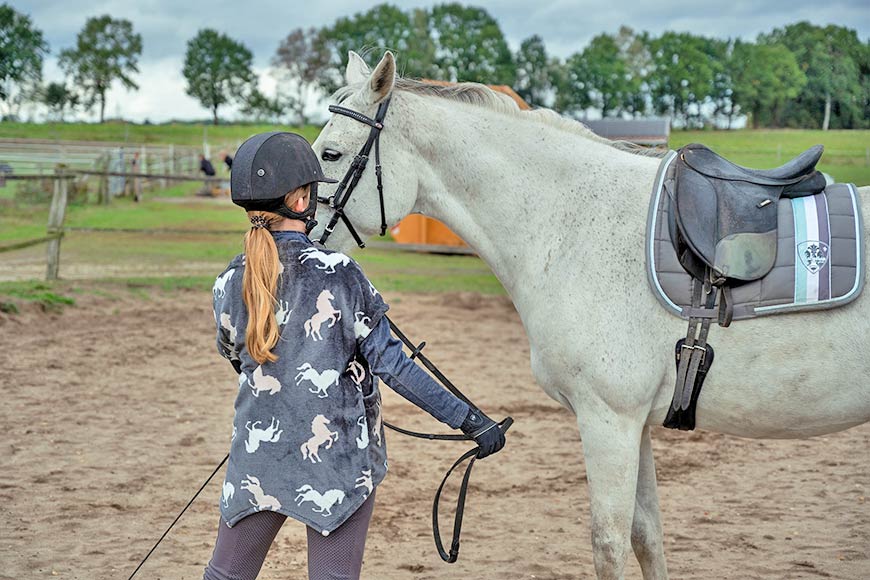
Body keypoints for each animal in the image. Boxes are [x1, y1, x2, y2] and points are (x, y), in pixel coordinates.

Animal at [312, 51, 870, 580]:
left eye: (330, 153)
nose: (297, 228)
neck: (574, 224)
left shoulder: (609, 421)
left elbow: (610, 544)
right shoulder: (635, 425)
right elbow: (647, 537)